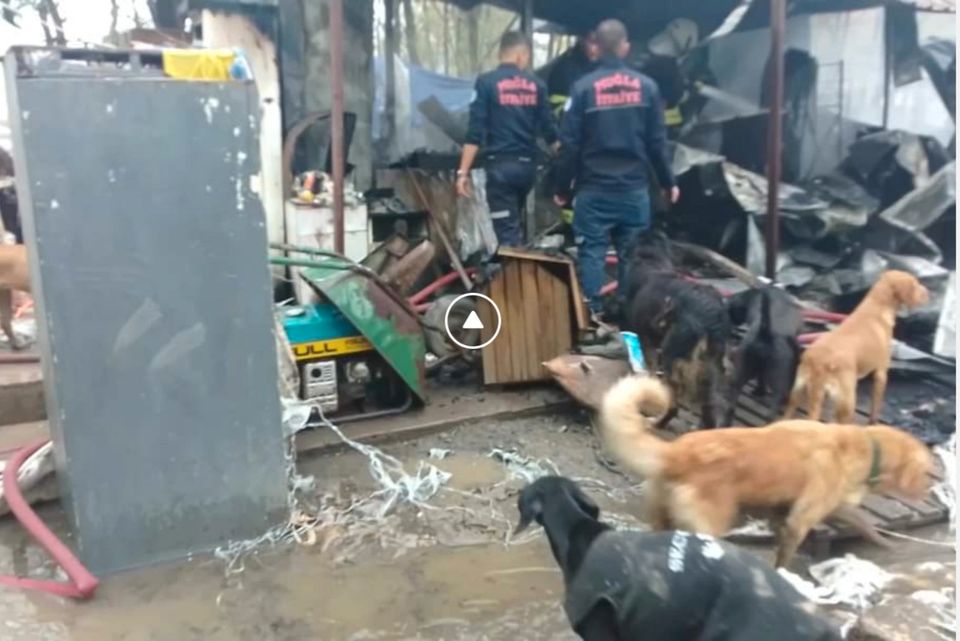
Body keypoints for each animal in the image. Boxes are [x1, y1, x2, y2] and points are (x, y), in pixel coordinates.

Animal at [604, 376, 932, 564]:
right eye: (926, 473)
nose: (927, 490)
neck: (863, 445)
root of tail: (676, 453)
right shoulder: (800, 520)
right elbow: (785, 557)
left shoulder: (797, 511)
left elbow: (864, 522)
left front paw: (885, 542)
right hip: (708, 525)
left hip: (662, 516)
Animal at [624, 232, 728, 428]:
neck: (652, 263)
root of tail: (711, 316)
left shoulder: (646, 340)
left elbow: (652, 373)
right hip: (709, 369)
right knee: (709, 408)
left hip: (672, 357)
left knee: (674, 406)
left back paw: (658, 422)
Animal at [724, 286, 808, 424]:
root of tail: (764, 332)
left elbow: (761, 378)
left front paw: (759, 391)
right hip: (778, 380)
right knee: (772, 408)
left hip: (743, 369)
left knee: (731, 403)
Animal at [784, 270, 928, 424]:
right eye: (914, 284)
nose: (928, 293)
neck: (876, 306)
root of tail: (819, 362)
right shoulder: (881, 373)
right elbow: (875, 408)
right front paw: (873, 423)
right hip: (847, 402)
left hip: (796, 394)